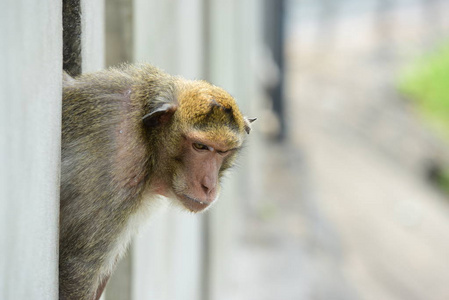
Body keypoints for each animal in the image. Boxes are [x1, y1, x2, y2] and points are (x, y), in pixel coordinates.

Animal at [59, 63, 256, 300]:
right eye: (200, 147)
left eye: (222, 152)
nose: (209, 185)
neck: (148, 140)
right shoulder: (117, 165)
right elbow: (76, 269)